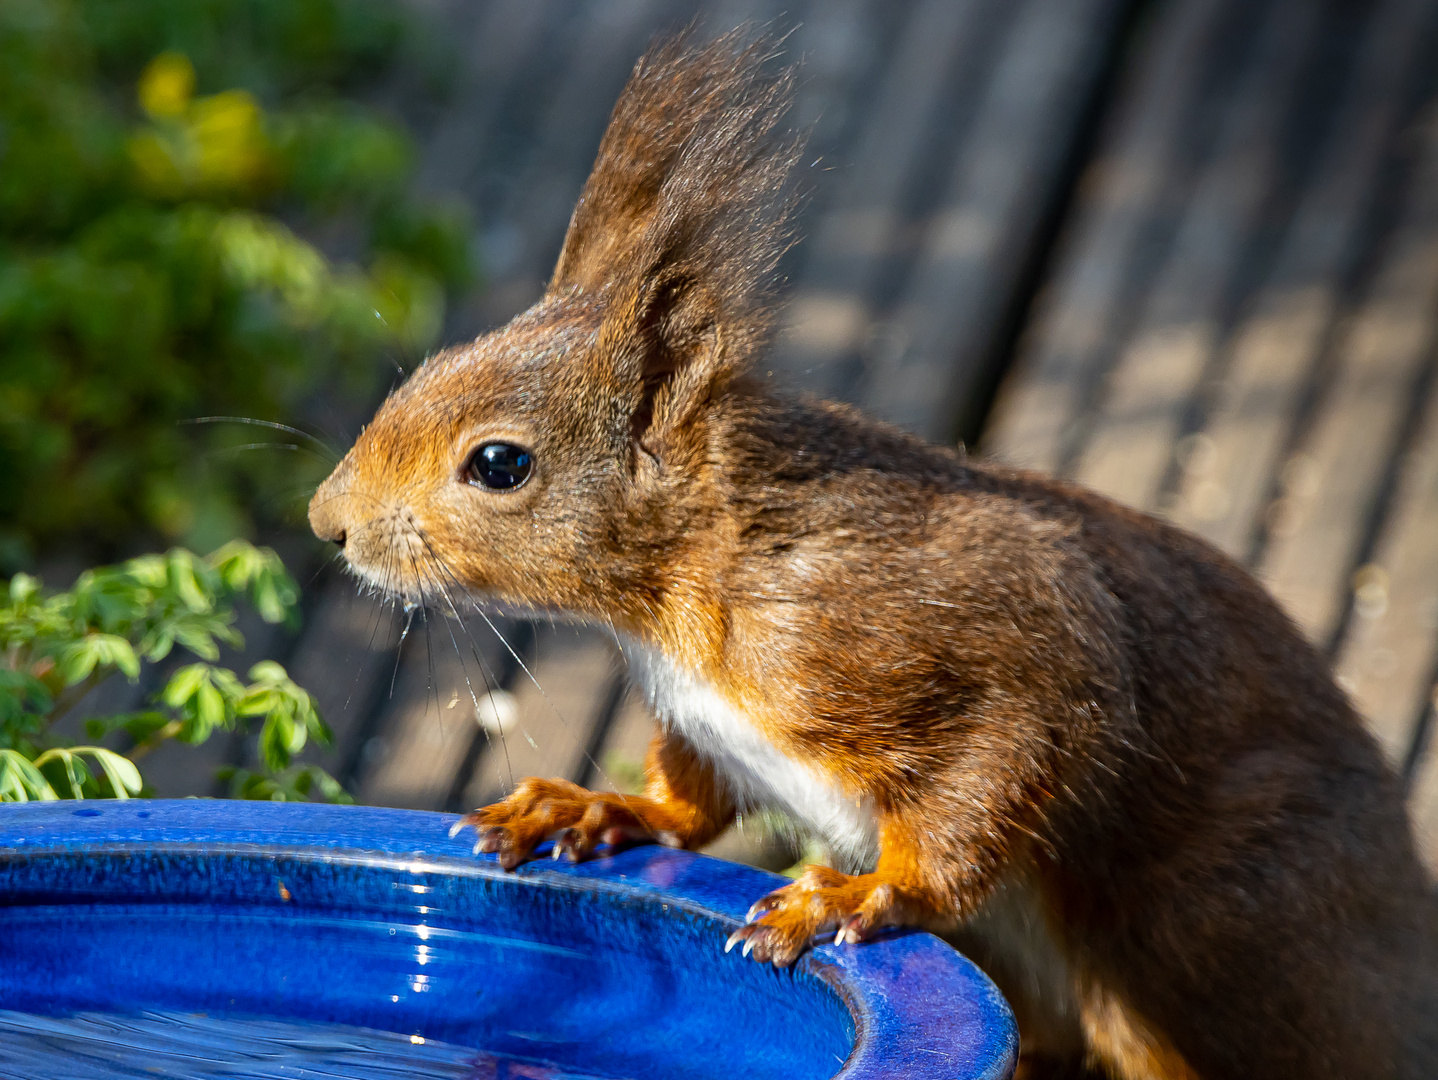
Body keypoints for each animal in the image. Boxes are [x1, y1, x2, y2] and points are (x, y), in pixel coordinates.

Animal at [312, 27, 1438, 1080]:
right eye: (432, 367)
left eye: (499, 464)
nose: (329, 522)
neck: (679, 595)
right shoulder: (708, 724)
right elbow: (690, 806)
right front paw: (591, 806)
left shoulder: (954, 638)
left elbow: (994, 780)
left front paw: (849, 898)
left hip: (1211, 930)